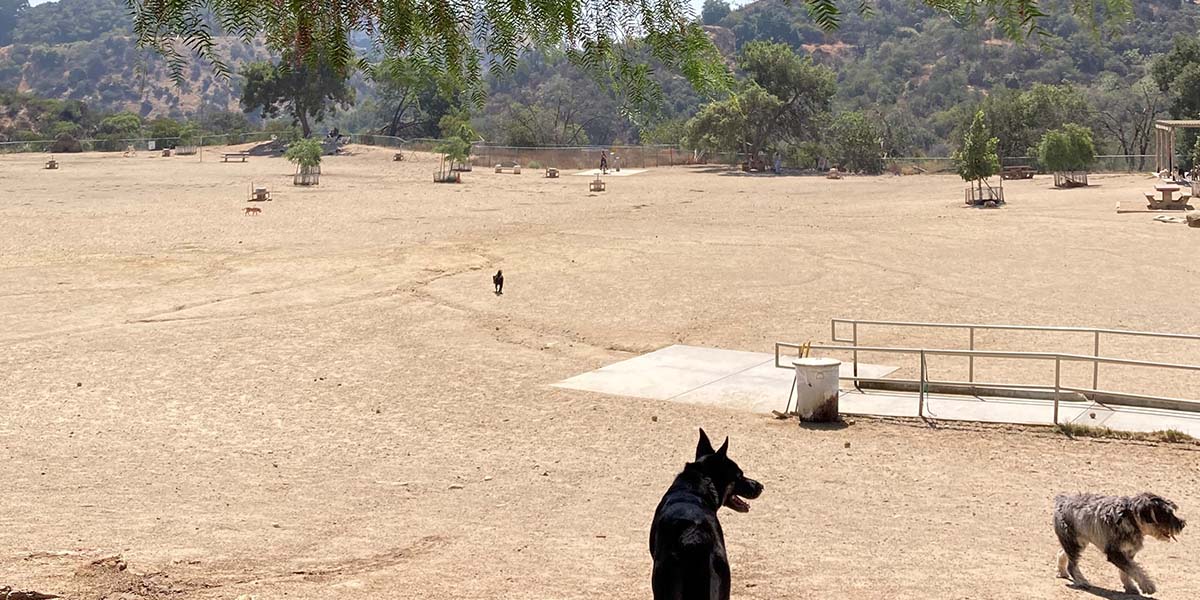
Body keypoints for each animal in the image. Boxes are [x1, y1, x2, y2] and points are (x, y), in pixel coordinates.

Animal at [1056, 492, 1185, 595]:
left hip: (1080, 542)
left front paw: (1130, 587)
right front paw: (1148, 586)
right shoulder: (1115, 553)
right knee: (1072, 565)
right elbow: (1134, 569)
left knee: (1062, 552)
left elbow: (1127, 571)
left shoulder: (1128, 553)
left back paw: (1061, 571)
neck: (1130, 519)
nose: (1182, 524)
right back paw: (1081, 581)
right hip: (1074, 543)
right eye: (1166, 514)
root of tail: (1061, 502)